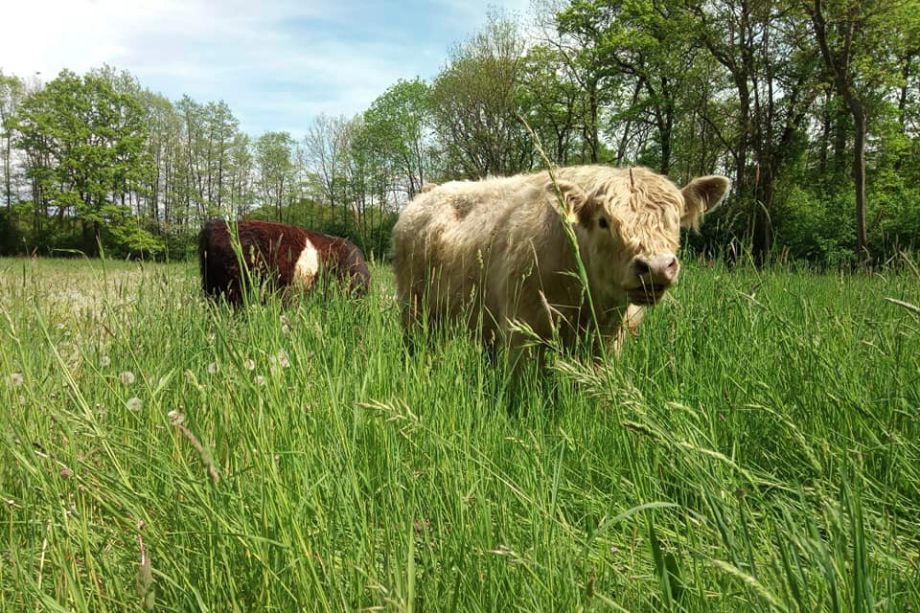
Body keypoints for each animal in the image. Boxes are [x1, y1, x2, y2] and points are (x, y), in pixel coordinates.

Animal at [392, 165, 728, 360]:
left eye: (674, 219)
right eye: (604, 221)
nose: (656, 266)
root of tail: (429, 192)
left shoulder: (609, 342)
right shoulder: (522, 333)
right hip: (415, 313)